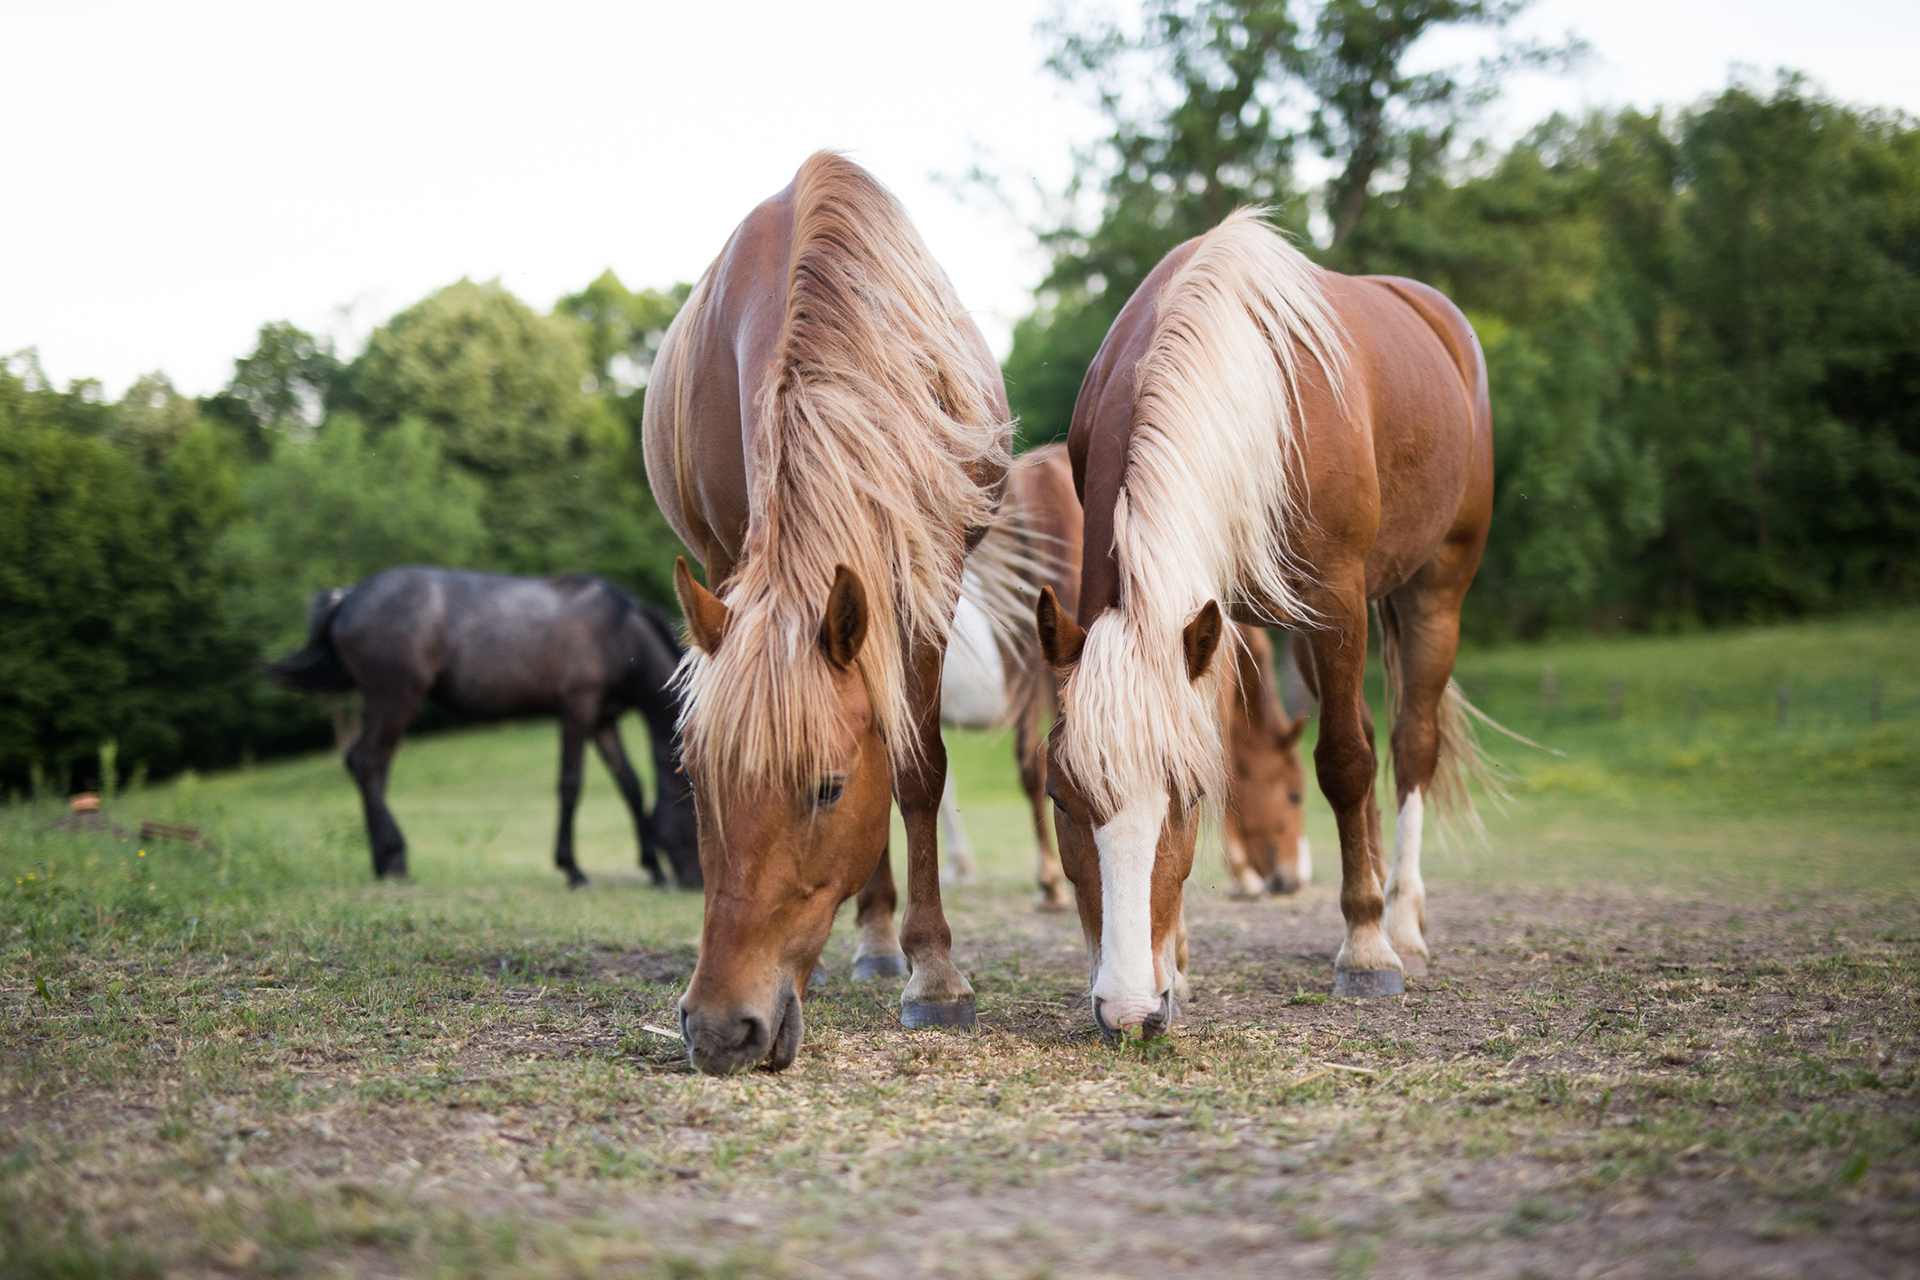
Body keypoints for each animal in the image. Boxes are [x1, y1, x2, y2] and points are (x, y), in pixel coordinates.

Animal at [263, 571, 698, 890]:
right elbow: (571, 785)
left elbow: (630, 786)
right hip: (397, 697)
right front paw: (573, 869)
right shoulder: (577, 709)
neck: (619, 630)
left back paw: (385, 862)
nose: (694, 883)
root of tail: (347, 597)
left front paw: (654, 869)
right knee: (367, 761)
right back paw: (395, 856)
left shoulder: (603, 720)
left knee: (373, 768)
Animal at [641, 147, 1013, 1074]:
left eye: (827, 789)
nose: (719, 1029)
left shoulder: (931, 575)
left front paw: (937, 976)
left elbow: (917, 769)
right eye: (697, 783)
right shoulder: (733, 560)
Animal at [1036, 208, 1497, 1043]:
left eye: (1189, 798)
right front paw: (1178, 966)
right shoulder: (1207, 620)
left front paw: (1367, 950)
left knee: (1409, 744)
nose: (1129, 1010)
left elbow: (1343, 764)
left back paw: (1400, 924)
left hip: (1434, 587)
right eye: (1061, 798)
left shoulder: (1337, 600)